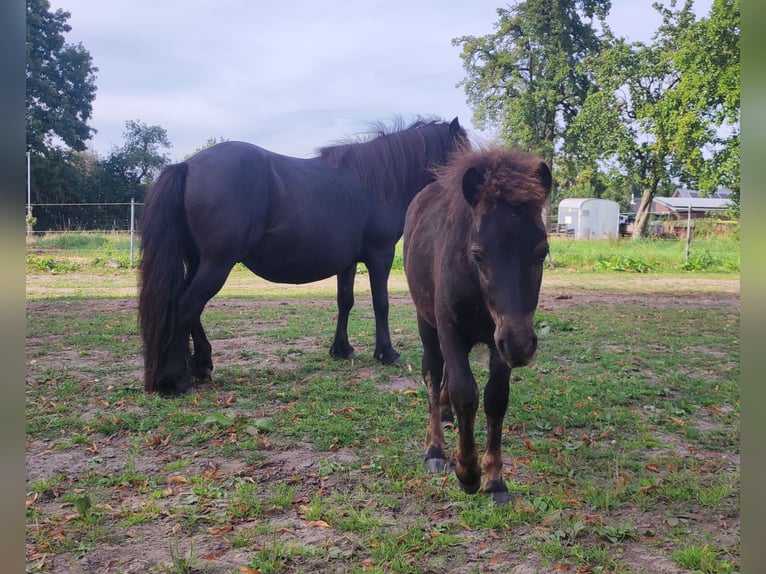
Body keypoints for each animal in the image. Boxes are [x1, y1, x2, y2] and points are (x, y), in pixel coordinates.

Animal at [141, 117, 472, 396]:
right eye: (462, 154)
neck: (379, 180)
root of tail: (188, 166)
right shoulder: (380, 254)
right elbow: (381, 303)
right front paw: (386, 353)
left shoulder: (348, 261)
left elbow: (345, 301)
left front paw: (342, 349)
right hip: (217, 263)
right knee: (186, 305)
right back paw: (175, 380)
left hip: (200, 261)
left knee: (189, 308)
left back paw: (201, 365)